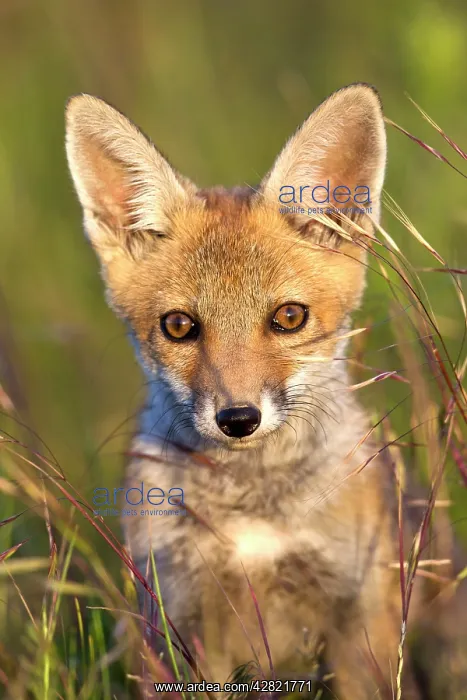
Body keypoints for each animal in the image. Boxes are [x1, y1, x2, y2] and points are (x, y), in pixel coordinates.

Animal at [65, 84, 433, 698]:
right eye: (179, 326)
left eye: (288, 317)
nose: (238, 419)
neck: (252, 509)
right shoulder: (181, 623)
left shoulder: (358, 620)